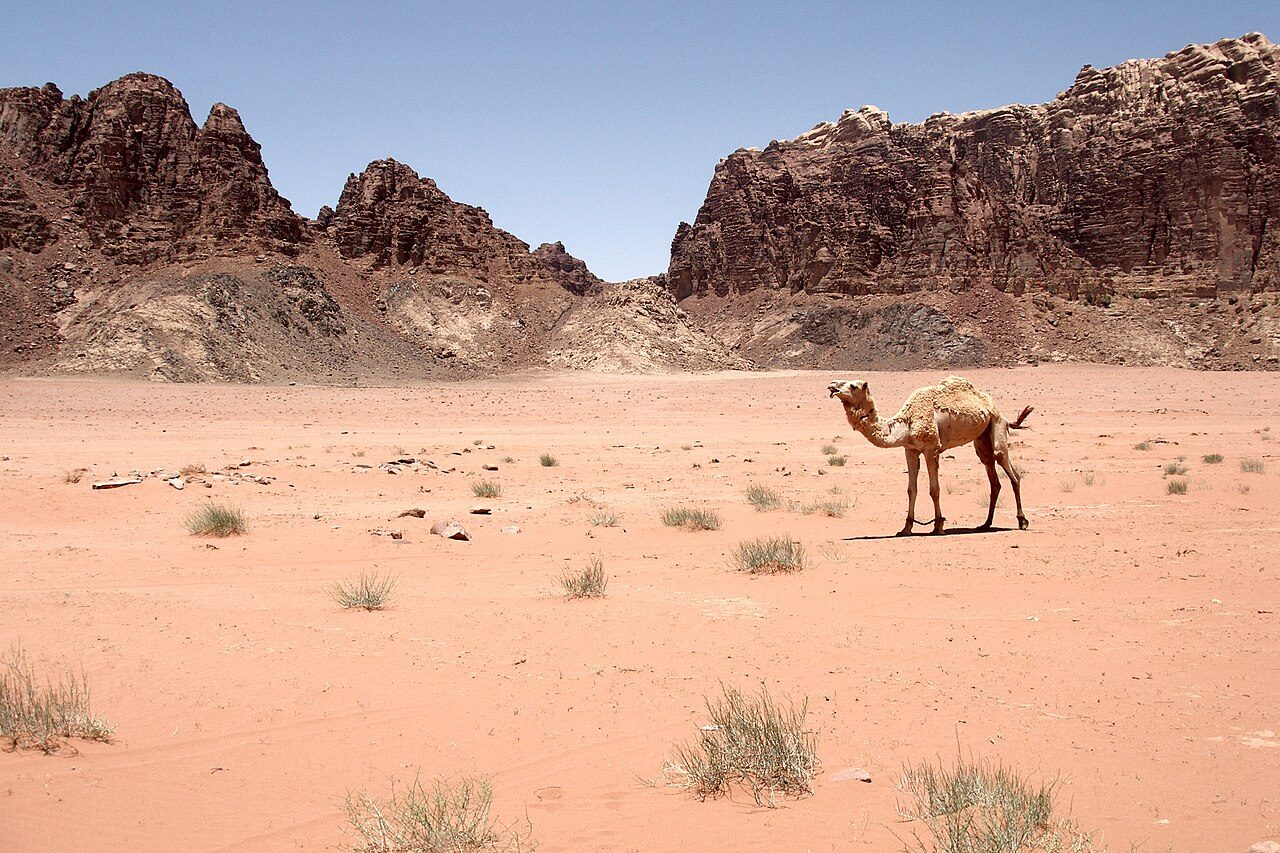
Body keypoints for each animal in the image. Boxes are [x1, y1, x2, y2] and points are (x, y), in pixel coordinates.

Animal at [827, 376, 1033, 535]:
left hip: (997, 425)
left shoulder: (931, 449)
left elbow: (934, 489)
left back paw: (1022, 521)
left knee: (1010, 470)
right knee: (992, 475)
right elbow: (911, 490)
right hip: (981, 439)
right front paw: (906, 528)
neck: (907, 422)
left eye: (853, 386)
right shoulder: (910, 450)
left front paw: (938, 526)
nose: (832, 385)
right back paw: (985, 524)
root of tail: (1000, 413)